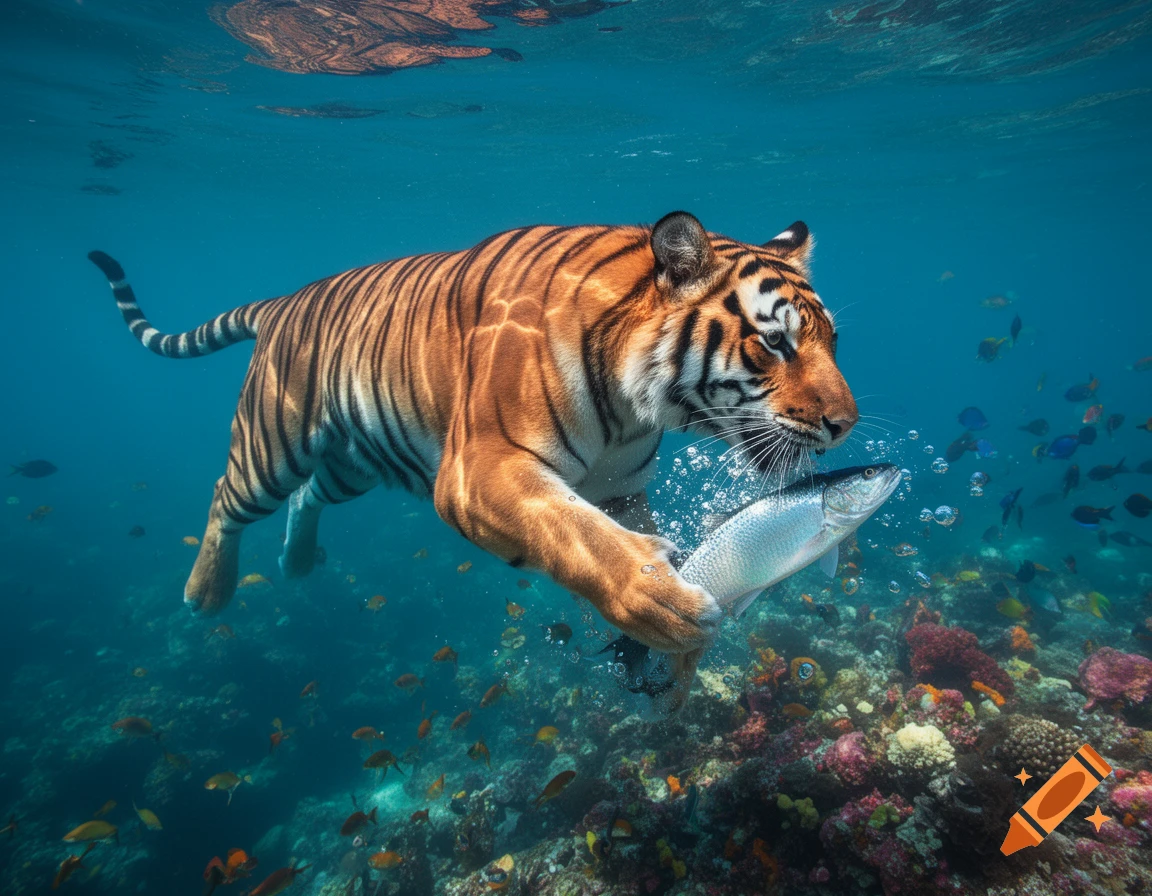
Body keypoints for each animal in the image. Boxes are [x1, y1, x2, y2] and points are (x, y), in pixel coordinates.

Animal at [88, 211, 856, 684]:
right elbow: (584, 540)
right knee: (228, 496)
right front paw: (663, 604)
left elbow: (612, 533)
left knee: (309, 496)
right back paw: (205, 592)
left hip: (354, 460)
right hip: (273, 444)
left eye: (830, 339)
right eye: (775, 343)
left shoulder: (618, 488)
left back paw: (299, 561)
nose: (845, 425)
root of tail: (280, 301)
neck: (639, 407)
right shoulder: (479, 470)